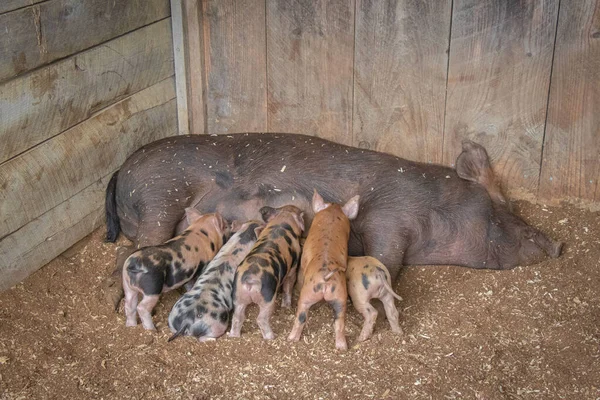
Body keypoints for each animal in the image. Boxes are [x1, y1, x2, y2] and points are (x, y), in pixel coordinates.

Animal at [104, 133, 564, 308]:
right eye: (505, 212)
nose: (559, 245)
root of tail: (120, 168)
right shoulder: (389, 215)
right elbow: (386, 257)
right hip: (159, 194)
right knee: (135, 251)